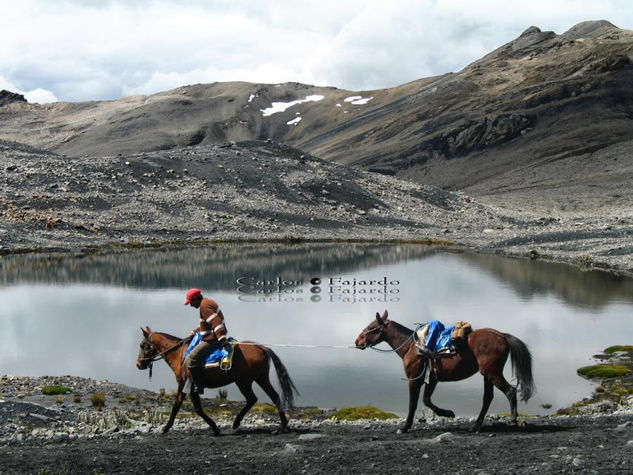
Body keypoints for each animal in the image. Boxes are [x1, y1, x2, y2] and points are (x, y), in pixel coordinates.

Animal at [135, 328, 296, 436]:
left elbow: (189, 408)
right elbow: (184, 407)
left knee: (253, 399)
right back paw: (283, 425)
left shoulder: (186, 385)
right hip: (260, 378)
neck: (180, 355)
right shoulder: (188, 386)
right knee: (274, 397)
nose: (138, 364)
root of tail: (261, 347)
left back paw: (237, 422)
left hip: (243, 382)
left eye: (142, 345)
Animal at [354, 310, 536, 434]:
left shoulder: (415, 380)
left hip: (493, 374)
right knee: (487, 398)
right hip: (487, 376)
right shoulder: (432, 379)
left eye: (371, 327)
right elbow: (427, 400)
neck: (413, 348)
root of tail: (501, 335)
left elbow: (413, 403)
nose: (357, 341)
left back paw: (514, 420)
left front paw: (405, 427)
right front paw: (448, 413)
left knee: (510, 391)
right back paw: (476, 425)